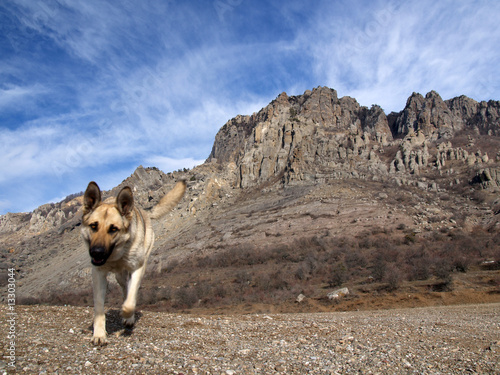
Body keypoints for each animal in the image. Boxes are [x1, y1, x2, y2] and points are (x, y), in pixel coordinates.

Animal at [81, 181, 186, 346]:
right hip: (120, 276)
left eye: (113, 229)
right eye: (93, 226)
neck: (117, 255)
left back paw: (128, 317)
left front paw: (126, 314)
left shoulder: (137, 269)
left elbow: (131, 301)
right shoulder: (98, 274)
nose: (96, 252)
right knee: (125, 289)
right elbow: (99, 307)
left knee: (130, 292)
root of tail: (144, 211)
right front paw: (99, 334)